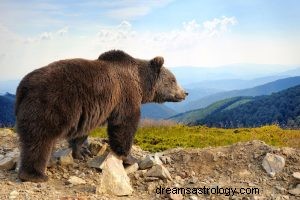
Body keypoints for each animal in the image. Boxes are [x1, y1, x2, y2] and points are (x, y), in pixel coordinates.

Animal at [15, 49, 188, 182]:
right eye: (173, 80)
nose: (185, 93)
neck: (141, 84)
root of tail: (23, 86)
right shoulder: (125, 95)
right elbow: (124, 124)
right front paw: (128, 157)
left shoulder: (88, 112)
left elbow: (82, 132)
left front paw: (81, 152)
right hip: (51, 104)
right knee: (40, 138)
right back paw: (35, 174)